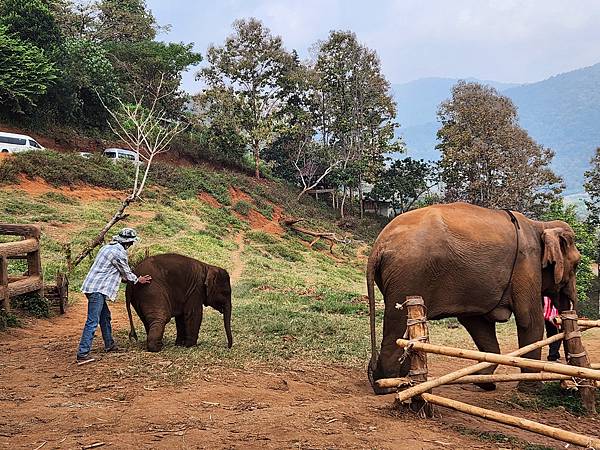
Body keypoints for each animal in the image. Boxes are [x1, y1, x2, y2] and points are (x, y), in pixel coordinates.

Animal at [366, 202, 580, 392]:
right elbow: (529, 320)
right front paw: (531, 389)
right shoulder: (526, 265)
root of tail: (379, 245)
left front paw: (484, 383)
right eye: (577, 264)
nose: (570, 385)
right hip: (409, 276)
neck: (541, 225)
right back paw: (387, 385)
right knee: (396, 324)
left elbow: (477, 323)